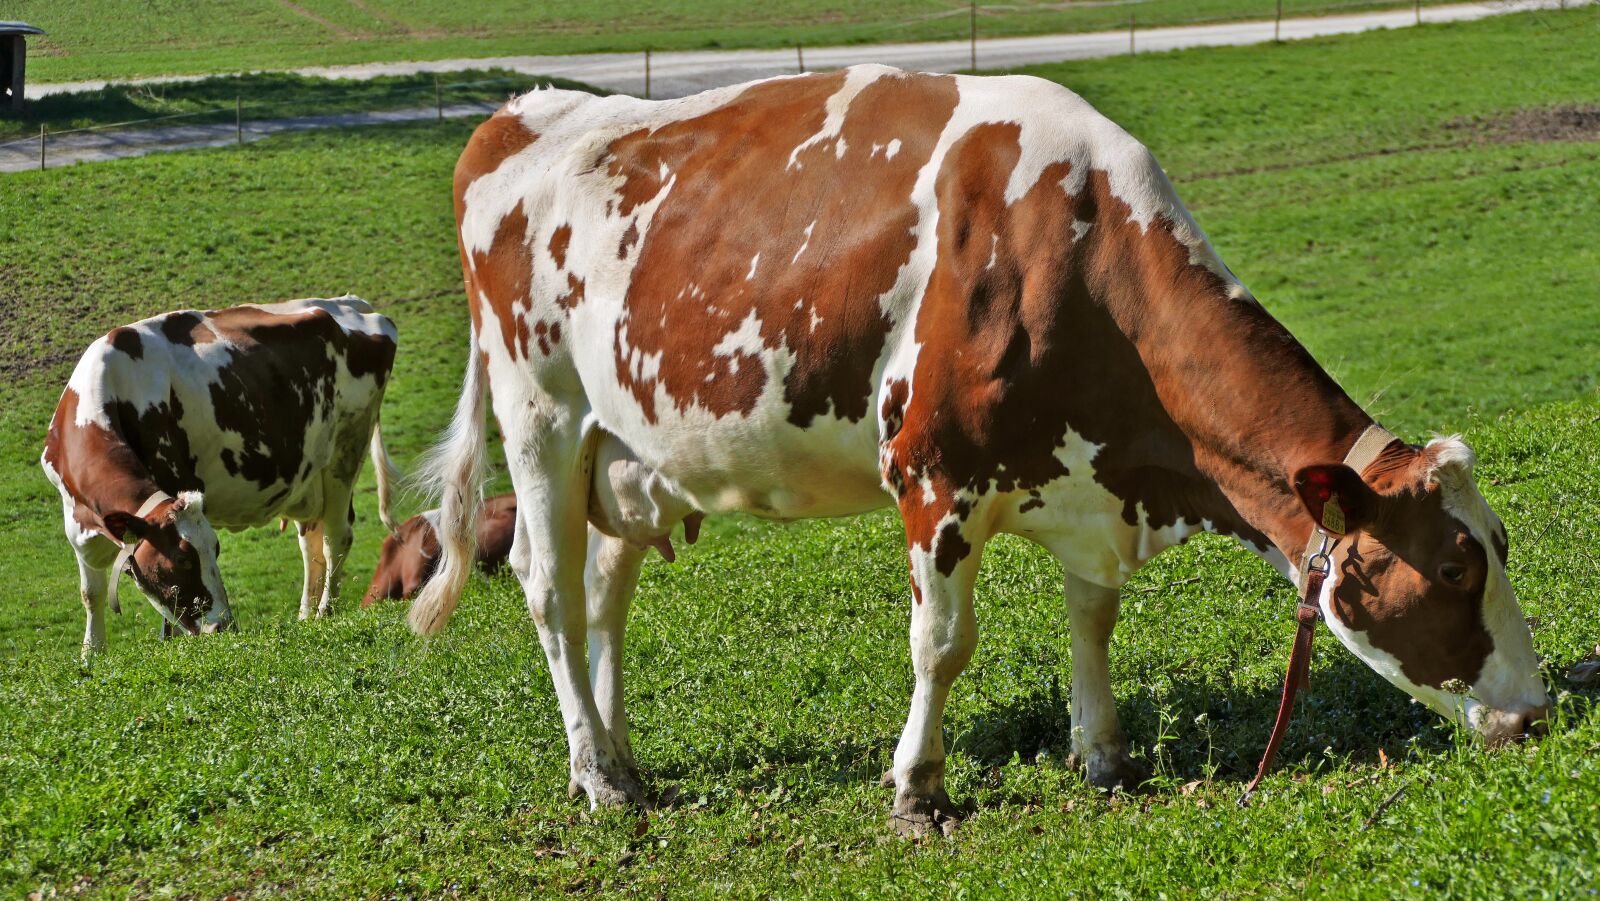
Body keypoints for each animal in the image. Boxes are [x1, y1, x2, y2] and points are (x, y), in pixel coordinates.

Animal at [42, 296, 399, 654]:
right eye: (183, 560)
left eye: (216, 550)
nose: (222, 627)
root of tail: (349, 303)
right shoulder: (75, 522)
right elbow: (91, 593)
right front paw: (91, 654)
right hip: (308, 478)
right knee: (311, 544)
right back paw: (306, 617)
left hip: (345, 450)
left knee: (336, 537)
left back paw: (326, 612)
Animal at [408, 66, 1550, 834]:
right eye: (1454, 566)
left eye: (1499, 543)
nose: (1539, 714)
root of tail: (521, 111)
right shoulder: (933, 476)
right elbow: (941, 644)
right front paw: (917, 787)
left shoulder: (1086, 486)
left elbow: (1093, 617)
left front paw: (1102, 752)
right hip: (538, 415)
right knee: (550, 589)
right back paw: (599, 779)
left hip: (626, 450)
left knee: (604, 593)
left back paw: (618, 755)